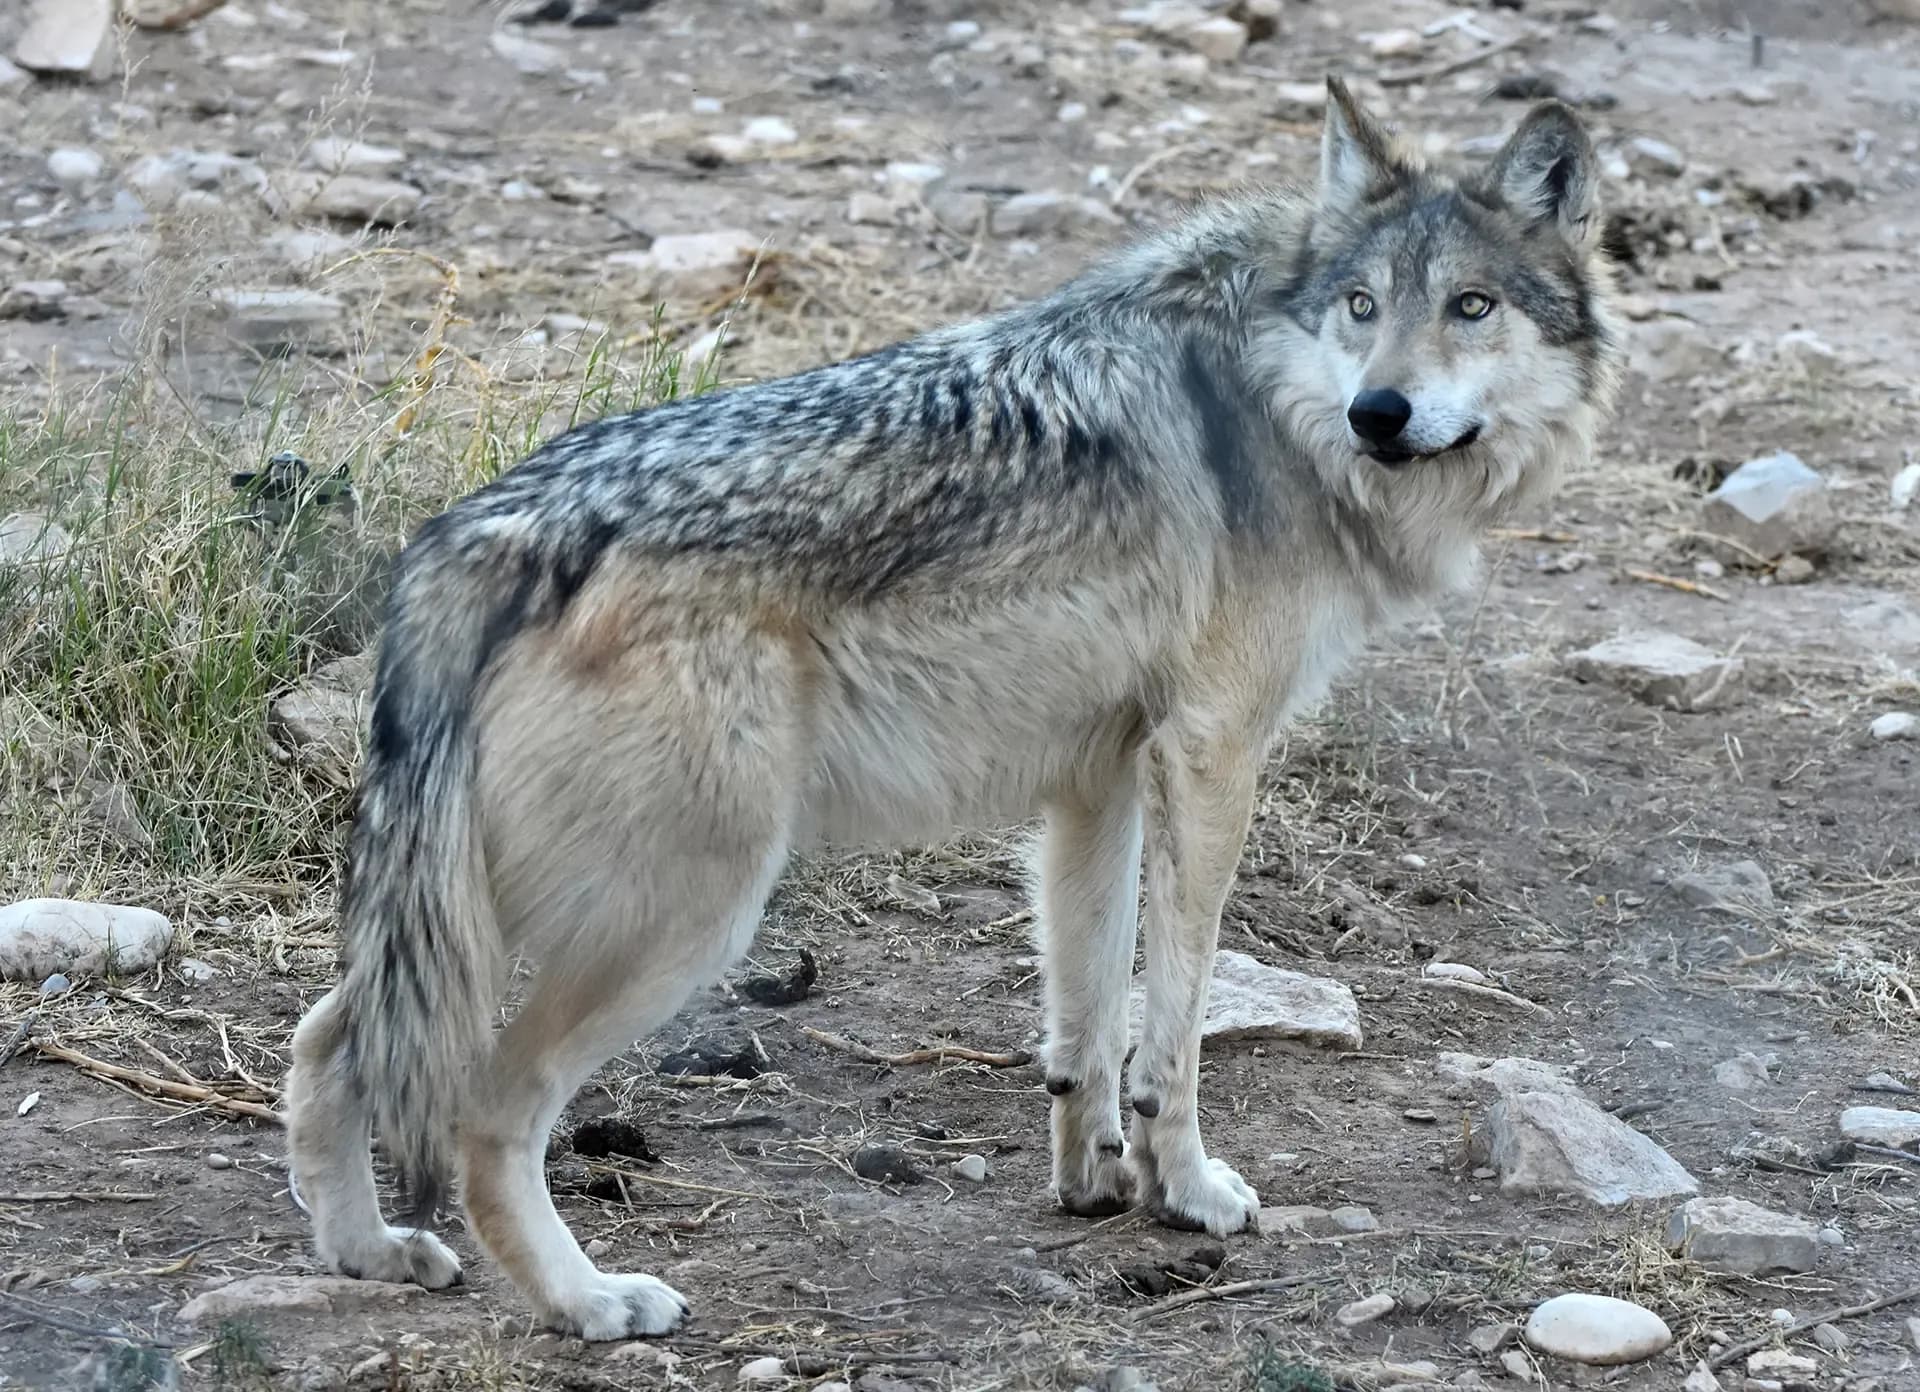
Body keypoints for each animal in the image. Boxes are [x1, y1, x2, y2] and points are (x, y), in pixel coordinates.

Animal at [285, 78, 1621, 1340]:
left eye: (1470, 306)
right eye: (1362, 305)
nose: (1379, 412)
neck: (1274, 402)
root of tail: (479, 531)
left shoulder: (1096, 780)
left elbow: (1087, 1018)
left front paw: (1093, 1183)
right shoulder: (1214, 753)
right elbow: (1175, 1021)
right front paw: (1188, 1190)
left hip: (492, 913)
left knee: (329, 1043)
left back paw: (371, 1254)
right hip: (679, 915)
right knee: (485, 1106)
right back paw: (591, 1303)